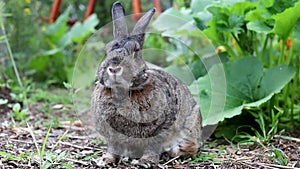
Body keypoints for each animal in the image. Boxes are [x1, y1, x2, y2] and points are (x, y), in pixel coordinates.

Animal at [91, 1, 204, 167]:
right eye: (106, 50)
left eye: (135, 50)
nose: (114, 68)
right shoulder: (112, 136)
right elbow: (113, 148)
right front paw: (106, 160)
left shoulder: (160, 129)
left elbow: (152, 147)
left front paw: (144, 162)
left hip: (190, 127)